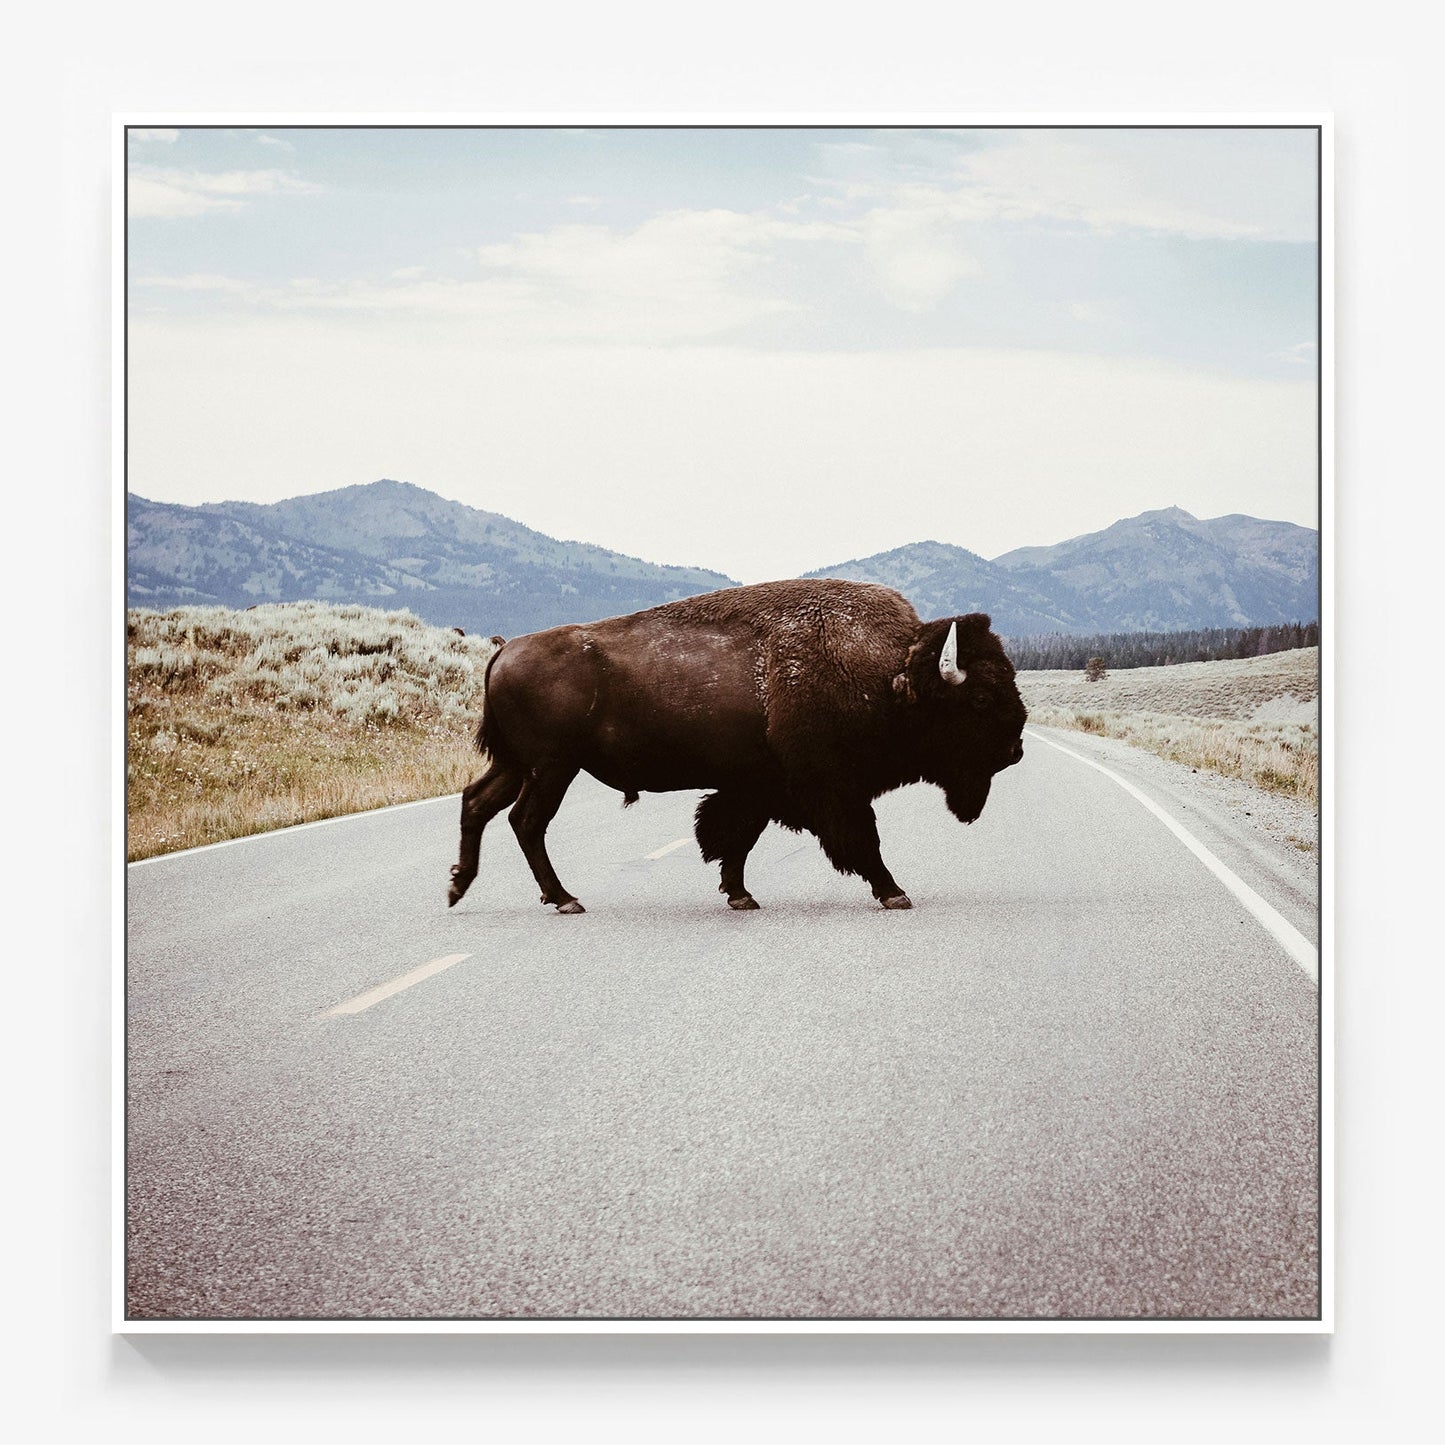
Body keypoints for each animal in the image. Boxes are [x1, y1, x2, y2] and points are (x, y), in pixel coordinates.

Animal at [448, 578, 1027, 914]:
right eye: (980, 697)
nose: (1016, 749)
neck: (891, 675)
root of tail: (504, 651)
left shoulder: (759, 786)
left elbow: (735, 838)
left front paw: (741, 895)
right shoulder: (830, 788)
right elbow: (862, 840)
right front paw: (894, 893)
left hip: (518, 764)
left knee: (478, 803)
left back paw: (461, 887)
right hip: (552, 767)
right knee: (526, 821)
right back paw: (564, 900)